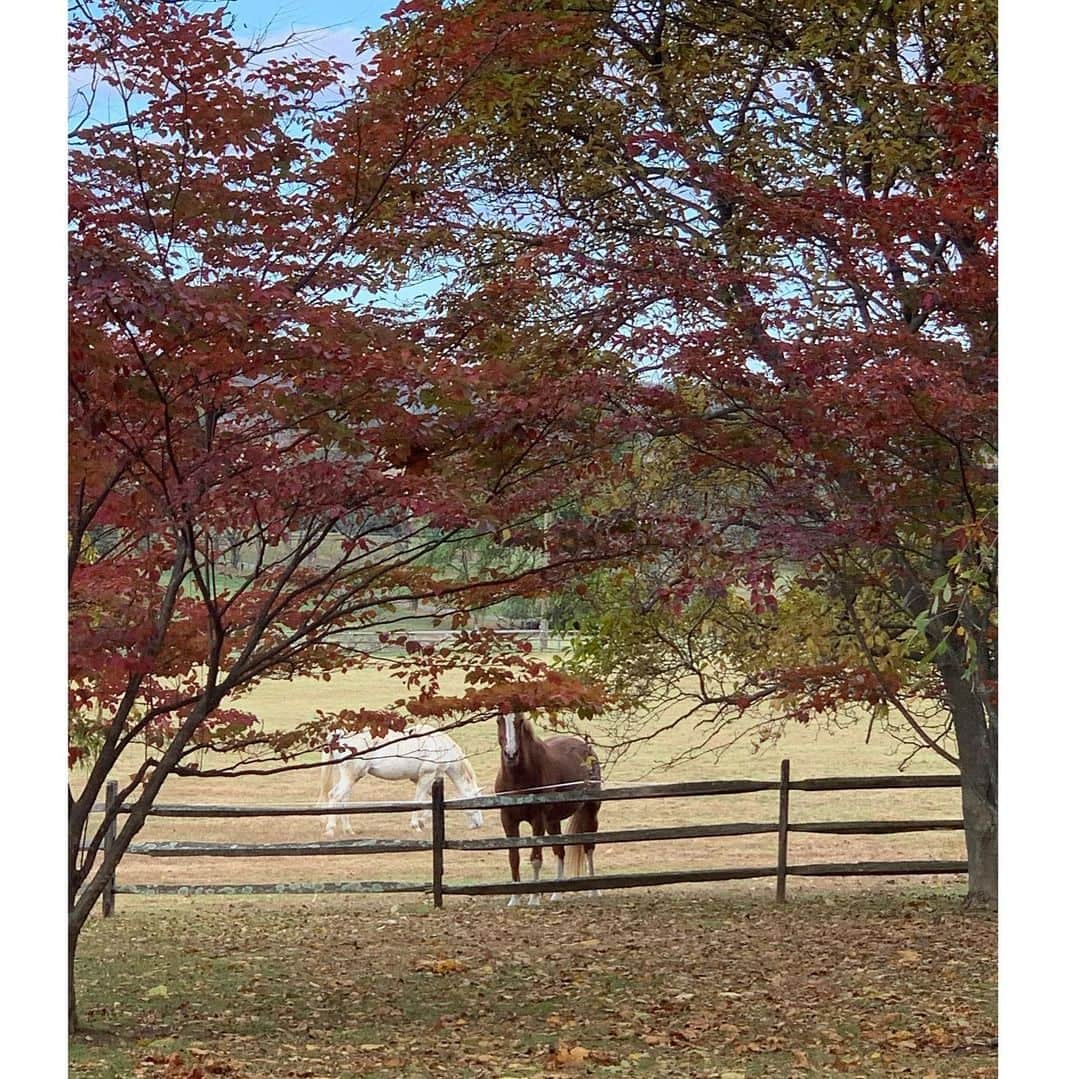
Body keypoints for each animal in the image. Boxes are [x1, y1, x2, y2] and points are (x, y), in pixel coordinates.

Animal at [317, 730, 483, 838]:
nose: (479, 825)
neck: (439, 745)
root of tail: (338, 737)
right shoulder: (427, 776)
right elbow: (418, 801)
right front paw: (416, 825)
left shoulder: (421, 779)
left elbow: (428, 799)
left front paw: (422, 821)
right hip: (351, 777)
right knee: (335, 796)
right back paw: (330, 829)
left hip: (351, 777)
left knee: (343, 799)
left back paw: (348, 830)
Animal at [494, 712, 604, 907]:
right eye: (499, 720)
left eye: (519, 721)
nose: (511, 754)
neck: (519, 778)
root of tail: (586, 747)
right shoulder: (508, 819)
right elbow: (513, 858)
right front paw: (514, 899)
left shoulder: (538, 820)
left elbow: (536, 858)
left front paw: (534, 898)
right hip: (553, 821)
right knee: (559, 851)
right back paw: (556, 894)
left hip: (590, 812)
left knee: (588, 848)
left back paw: (594, 891)